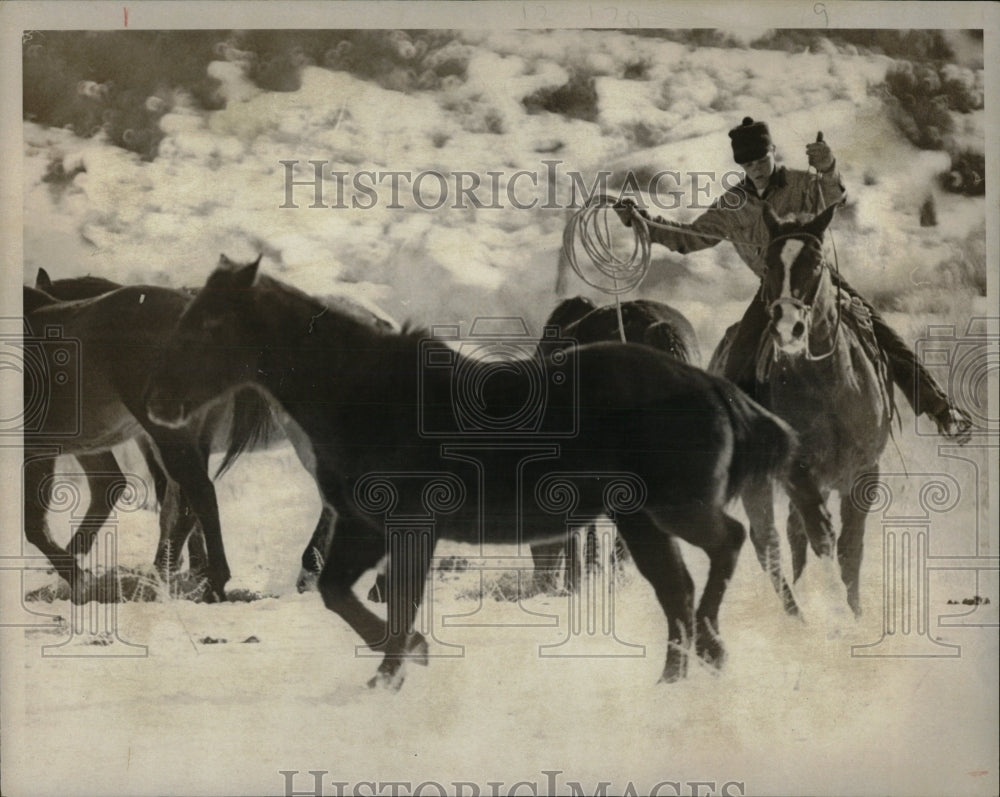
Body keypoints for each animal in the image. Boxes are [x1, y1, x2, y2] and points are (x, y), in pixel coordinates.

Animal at [143, 256, 828, 692]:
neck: (364, 393)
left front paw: (393, 673)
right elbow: (339, 593)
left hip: (669, 508)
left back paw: (709, 648)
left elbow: (395, 603)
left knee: (726, 549)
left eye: (209, 324)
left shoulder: (408, 525)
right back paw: (677, 676)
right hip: (642, 521)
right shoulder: (365, 527)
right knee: (678, 590)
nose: (159, 402)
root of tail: (712, 387)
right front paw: (400, 664)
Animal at [712, 205, 892, 616]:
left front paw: (856, 613)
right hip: (759, 482)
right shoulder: (797, 472)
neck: (830, 387)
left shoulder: (864, 471)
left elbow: (850, 549)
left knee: (791, 538)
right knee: (769, 544)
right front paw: (837, 614)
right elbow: (821, 536)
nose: (787, 328)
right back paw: (797, 618)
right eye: (768, 263)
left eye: (816, 262)